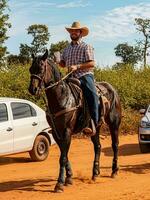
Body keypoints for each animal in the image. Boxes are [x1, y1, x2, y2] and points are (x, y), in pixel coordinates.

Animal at [28, 50, 121, 192]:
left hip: (114, 124)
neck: (61, 97)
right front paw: (69, 178)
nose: (32, 89)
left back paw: (114, 171)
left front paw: (60, 183)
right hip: (96, 127)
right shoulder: (56, 132)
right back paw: (95, 173)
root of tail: (112, 89)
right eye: (30, 69)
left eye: (41, 68)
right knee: (98, 147)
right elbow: (64, 155)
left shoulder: (67, 131)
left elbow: (63, 157)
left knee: (115, 145)